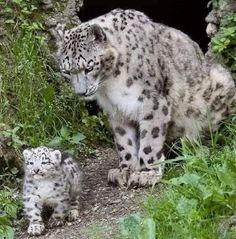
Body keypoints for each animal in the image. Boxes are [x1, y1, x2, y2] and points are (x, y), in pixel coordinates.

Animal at [54, 9, 234, 188]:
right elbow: (124, 141)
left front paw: (147, 173)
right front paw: (125, 170)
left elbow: (150, 139)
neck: (109, 83)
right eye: (67, 71)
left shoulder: (152, 102)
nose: (81, 92)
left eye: (89, 67)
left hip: (218, 86)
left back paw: (197, 148)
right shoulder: (116, 110)